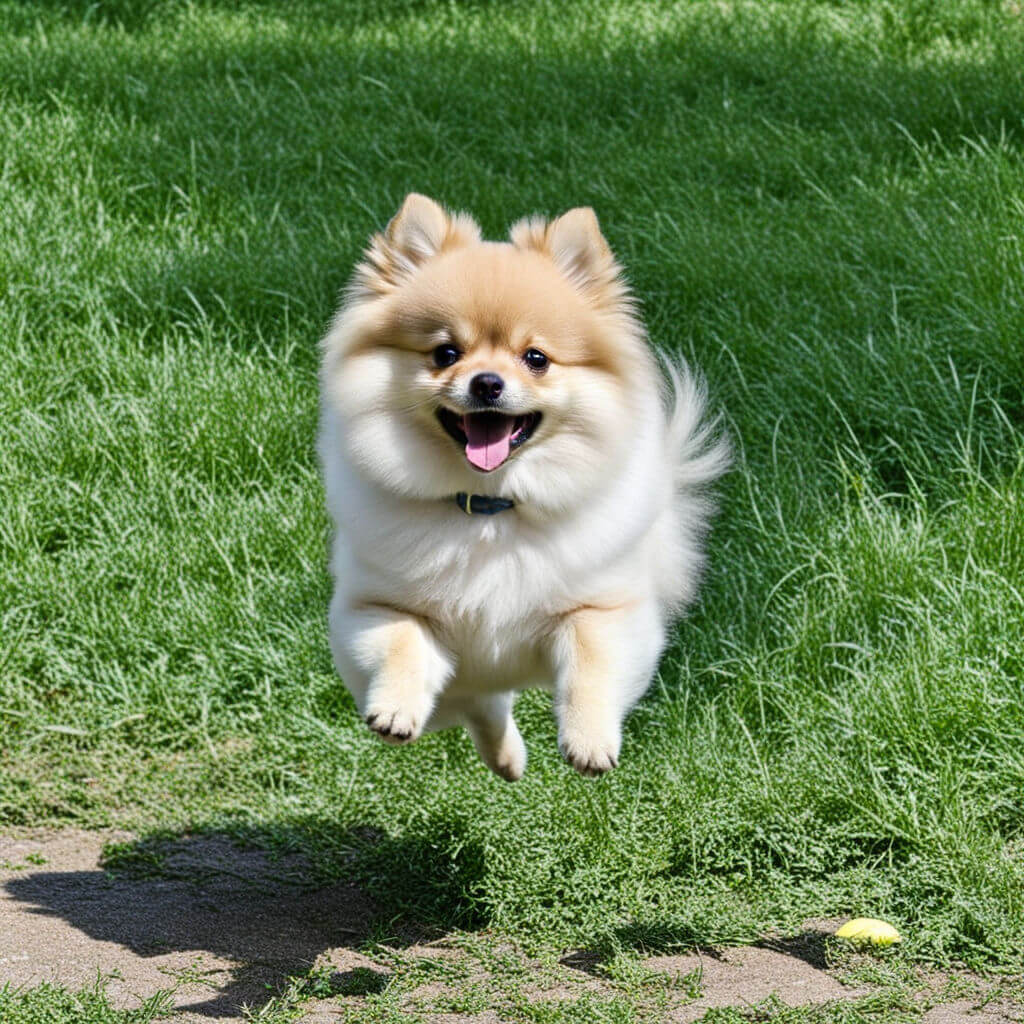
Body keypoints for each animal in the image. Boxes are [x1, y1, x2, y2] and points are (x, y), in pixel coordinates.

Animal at [315, 195, 724, 778]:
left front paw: (590, 740)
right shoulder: (377, 607)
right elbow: (401, 643)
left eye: (536, 358)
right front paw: (393, 708)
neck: (491, 507)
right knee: (480, 703)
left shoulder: (603, 610)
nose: (487, 382)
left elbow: (591, 662)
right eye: (445, 354)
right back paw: (506, 759)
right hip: (461, 680)